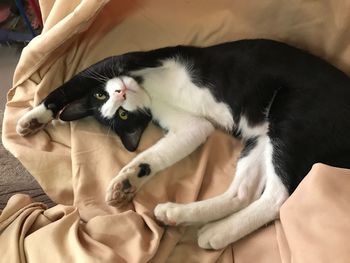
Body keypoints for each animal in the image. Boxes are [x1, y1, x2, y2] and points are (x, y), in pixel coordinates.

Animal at [17, 38, 350, 250]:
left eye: (104, 96)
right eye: (119, 113)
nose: (120, 91)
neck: (149, 93)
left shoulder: (126, 60)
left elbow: (71, 84)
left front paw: (34, 117)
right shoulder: (192, 125)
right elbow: (157, 154)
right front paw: (125, 183)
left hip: (290, 118)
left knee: (279, 198)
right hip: (261, 137)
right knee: (243, 194)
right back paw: (196, 224)